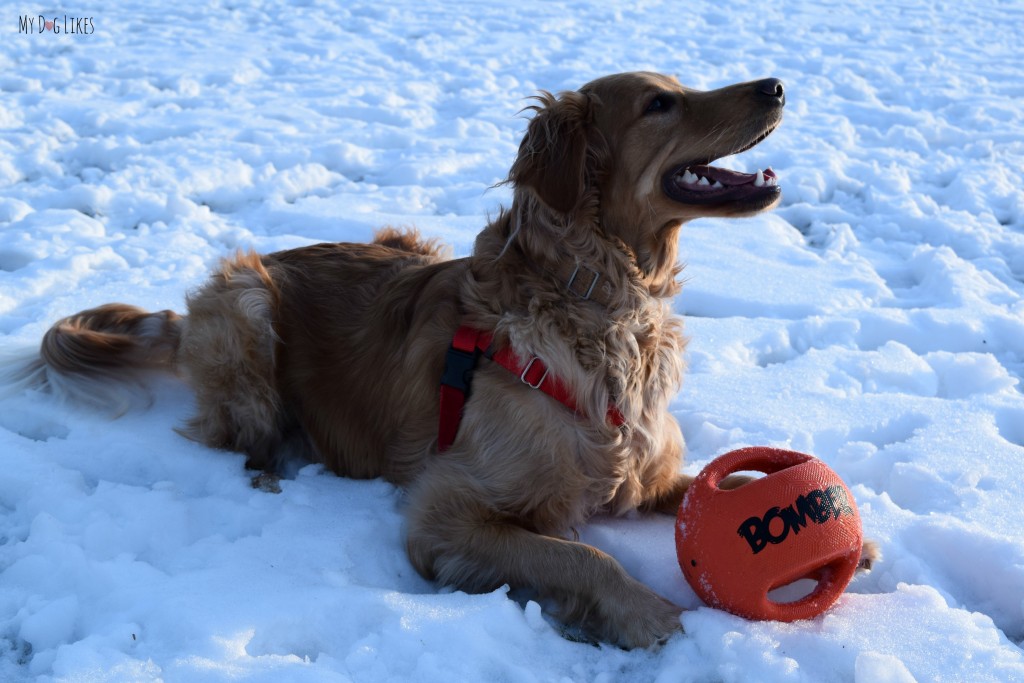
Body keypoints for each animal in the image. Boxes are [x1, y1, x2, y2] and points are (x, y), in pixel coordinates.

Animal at [19, 72, 876, 651]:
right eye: (658, 104)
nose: (776, 83)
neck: (608, 310)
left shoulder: (647, 470)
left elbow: (711, 483)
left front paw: (843, 531)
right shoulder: (445, 512)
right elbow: (580, 554)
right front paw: (645, 611)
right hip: (246, 302)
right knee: (237, 434)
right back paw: (276, 467)